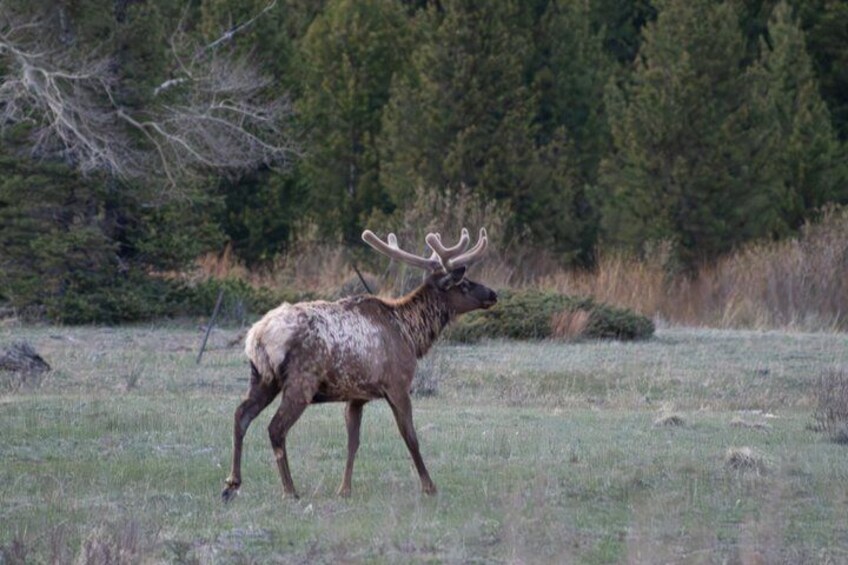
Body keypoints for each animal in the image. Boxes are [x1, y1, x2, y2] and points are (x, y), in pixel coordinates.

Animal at [221, 227, 497, 501]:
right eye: (464, 283)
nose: (493, 294)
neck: (410, 334)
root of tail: (257, 336)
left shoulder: (356, 395)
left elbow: (352, 442)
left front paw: (344, 489)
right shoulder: (397, 384)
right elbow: (410, 436)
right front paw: (429, 486)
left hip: (262, 377)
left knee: (241, 414)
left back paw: (232, 483)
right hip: (302, 381)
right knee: (275, 428)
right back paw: (289, 489)